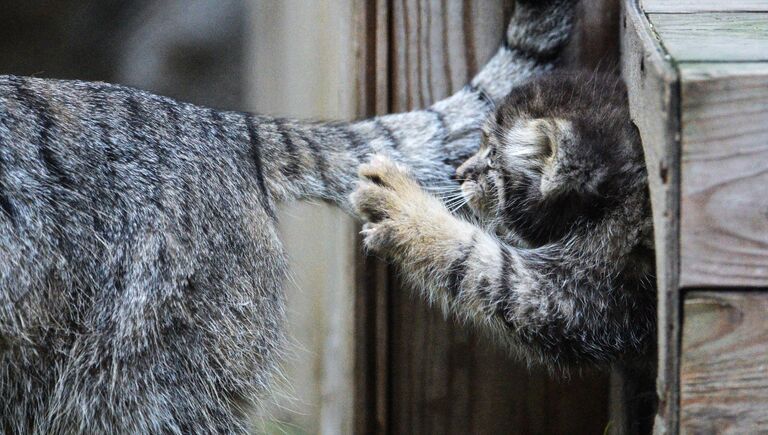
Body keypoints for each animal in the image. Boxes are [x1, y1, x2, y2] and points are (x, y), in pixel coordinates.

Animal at [352, 70, 656, 372]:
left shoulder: (578, 298)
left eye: (492, 154)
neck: (613, 202)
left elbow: (474, 262)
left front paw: (404, 208)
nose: (459, 174)